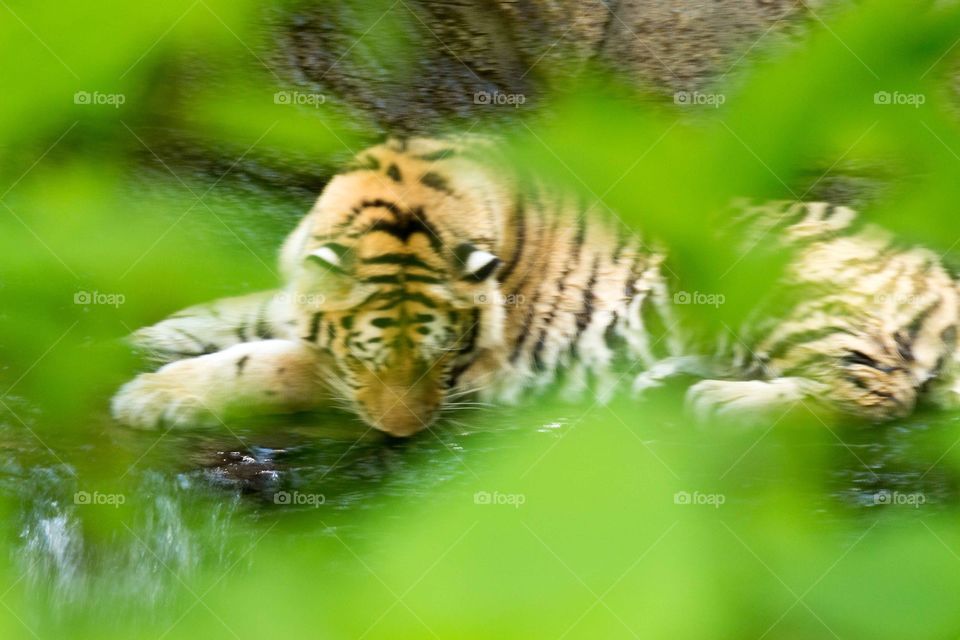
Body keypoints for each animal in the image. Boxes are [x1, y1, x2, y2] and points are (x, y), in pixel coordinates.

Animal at [111, 136, 960, 436]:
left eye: (442, 358)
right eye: (371, 355)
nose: (404, 436)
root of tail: (935, 270)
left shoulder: (474, 372)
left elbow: (278, 364)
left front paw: (154, 396)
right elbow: (251, 311)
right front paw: (158, 333)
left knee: (877, 391)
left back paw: (719, 402)